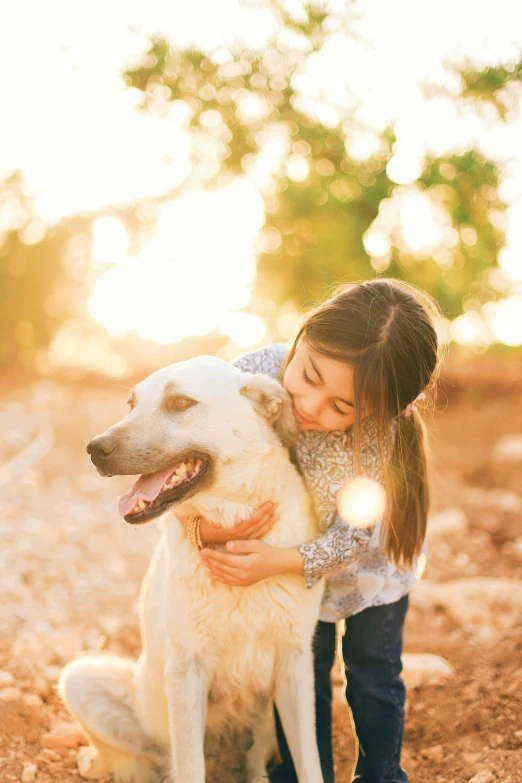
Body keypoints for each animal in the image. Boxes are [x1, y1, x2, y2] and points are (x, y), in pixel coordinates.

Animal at [59, 356, 322, 783]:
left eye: (180, 403)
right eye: (130, 404)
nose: (95, 448)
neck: (231, 527)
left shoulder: (294, 665)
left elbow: (310, 763)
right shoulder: (186, 671)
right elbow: (188, 764)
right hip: (84, 682)